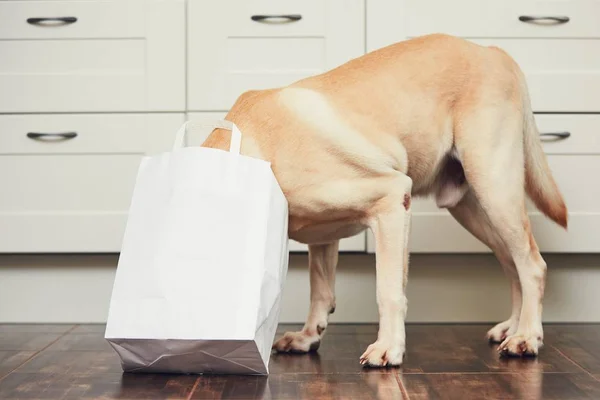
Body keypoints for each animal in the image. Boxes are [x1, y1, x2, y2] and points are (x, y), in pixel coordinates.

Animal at [203, 34, 568, 368]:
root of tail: (493, 51)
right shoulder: (323, 236)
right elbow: (320, 290)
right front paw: (307, 337)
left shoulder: (392, 200)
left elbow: (389, 291)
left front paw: (388, 348)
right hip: (473, 209)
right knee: (512, 263)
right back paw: (512, 327)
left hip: (494, 184)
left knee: (532, 265)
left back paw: (526, 337)